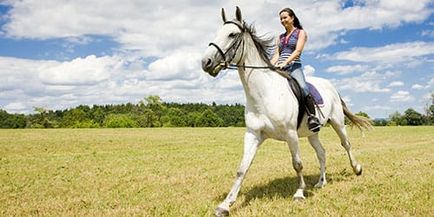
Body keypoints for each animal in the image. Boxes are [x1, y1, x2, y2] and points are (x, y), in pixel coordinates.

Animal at [202, 7, 372, 217]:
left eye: (232, 34)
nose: (206, 62)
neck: (264, 93)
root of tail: (330, 85)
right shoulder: (253, 135)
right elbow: (242, 168)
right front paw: (225, 205)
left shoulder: (291, 135)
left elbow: (297, 163)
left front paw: (299, 193)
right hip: (312, 133)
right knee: (322, 153)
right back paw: (321, 182)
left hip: (338, 123)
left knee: (346, 144)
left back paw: (357, 169)